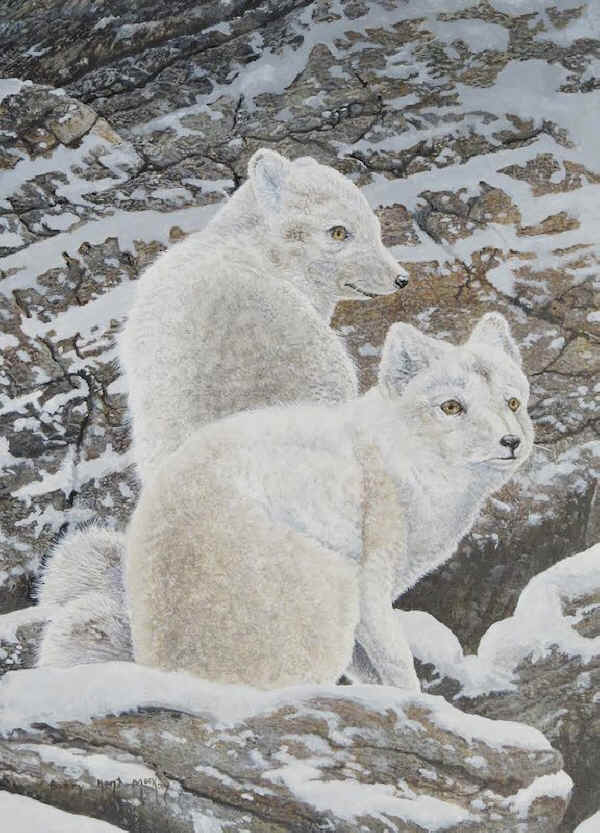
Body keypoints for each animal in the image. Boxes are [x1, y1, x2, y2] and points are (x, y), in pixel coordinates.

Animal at [125, 313, 534, 690]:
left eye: (513, 403)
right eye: (451, 407)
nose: (510, 442)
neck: (400, 458)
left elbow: (369, 671)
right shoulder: (370, 588)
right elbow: (397, 663)